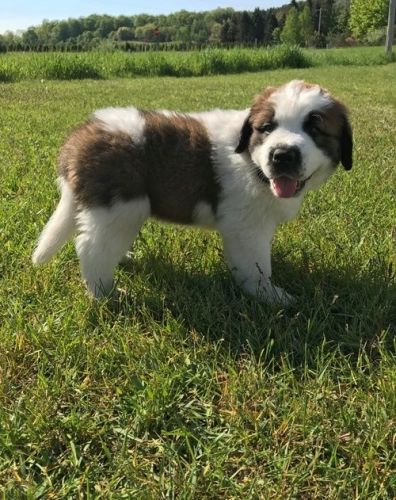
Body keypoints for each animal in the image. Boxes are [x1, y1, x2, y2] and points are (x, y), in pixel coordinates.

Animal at [31, 81, 352, 304]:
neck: (250, 160)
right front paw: (268, 295)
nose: (282, 155)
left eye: (315, 130)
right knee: (92, 247)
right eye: (267, 128)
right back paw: (105, 294)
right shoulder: (246, 228)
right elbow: (256, 264)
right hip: (119, 207)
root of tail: (79, 137)